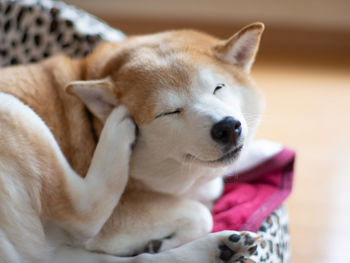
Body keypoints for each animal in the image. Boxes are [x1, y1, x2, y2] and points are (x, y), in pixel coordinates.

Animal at [0, 22, 264, 263]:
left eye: (218, 88)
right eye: (169, 112)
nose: (227, 127)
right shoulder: (120, 215)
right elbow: (201, 213)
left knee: (140, 260)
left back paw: (220, 249)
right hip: (11, 107)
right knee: (82, 215)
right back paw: (118, 128)